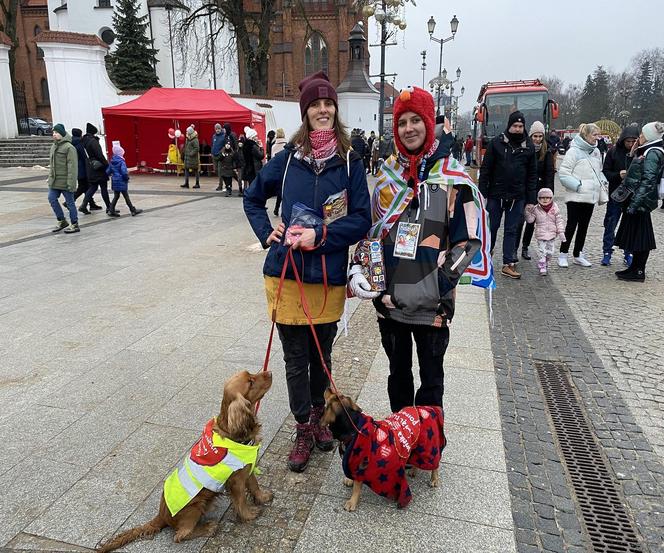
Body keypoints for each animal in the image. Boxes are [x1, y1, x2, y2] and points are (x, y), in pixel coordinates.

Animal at [98, 368, 272, 548]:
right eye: (250, 382)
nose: (270, 373)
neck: (231, 431)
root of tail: (161, 515)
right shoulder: (236, 481)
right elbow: (241, 500)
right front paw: (249, 515)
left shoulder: (248, 468)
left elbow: (254, 485)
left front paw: (263, 497)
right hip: (195, 507)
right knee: (181, 535)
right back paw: (208, 528)